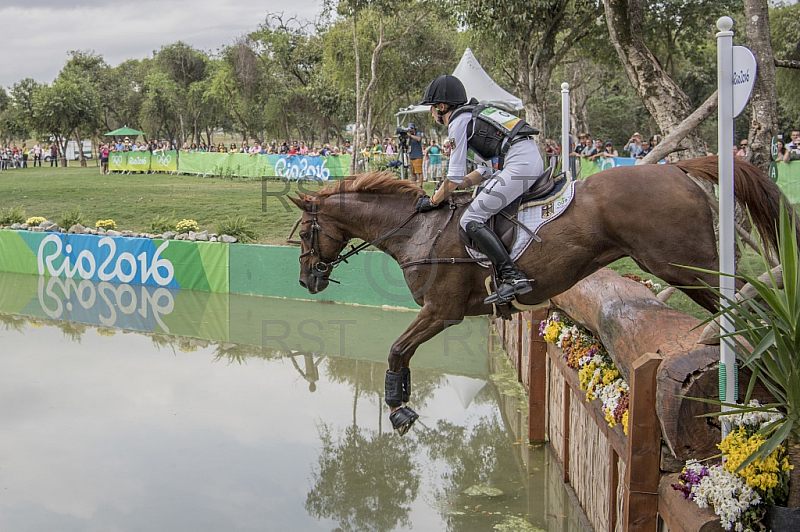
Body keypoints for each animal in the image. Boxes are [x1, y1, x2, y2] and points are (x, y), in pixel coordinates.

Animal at [290, 156, 792, 434]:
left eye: (304, 235)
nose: (306, 281)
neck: (417, 231)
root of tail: (677, 167)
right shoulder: (440, 313)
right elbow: (400, 352)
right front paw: (400, 406)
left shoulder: (441, 312)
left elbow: (396, 350)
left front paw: (398, 411)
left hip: (685, 267)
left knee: (748, 303)